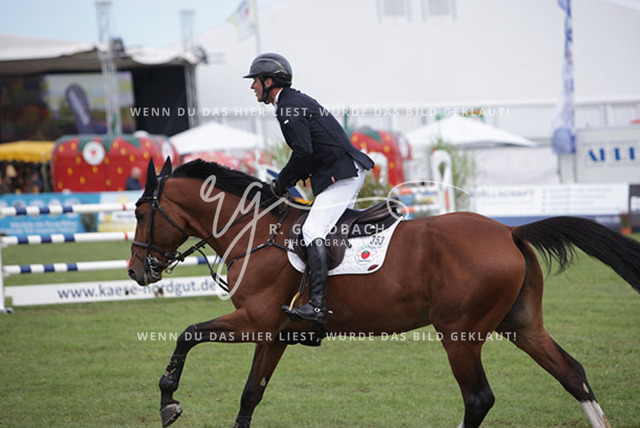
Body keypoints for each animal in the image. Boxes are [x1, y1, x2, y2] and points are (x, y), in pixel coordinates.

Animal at [128, 158, 640, 428]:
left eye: (140, 212)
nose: (136, 271)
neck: (254, 231)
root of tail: (509, 232)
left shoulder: (254, 321)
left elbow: (188, 333)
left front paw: (168, 401)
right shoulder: (273, 333)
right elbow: (250, 394)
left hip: (460, 334)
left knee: (479, 398)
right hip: (520, 325)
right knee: (572, 373)